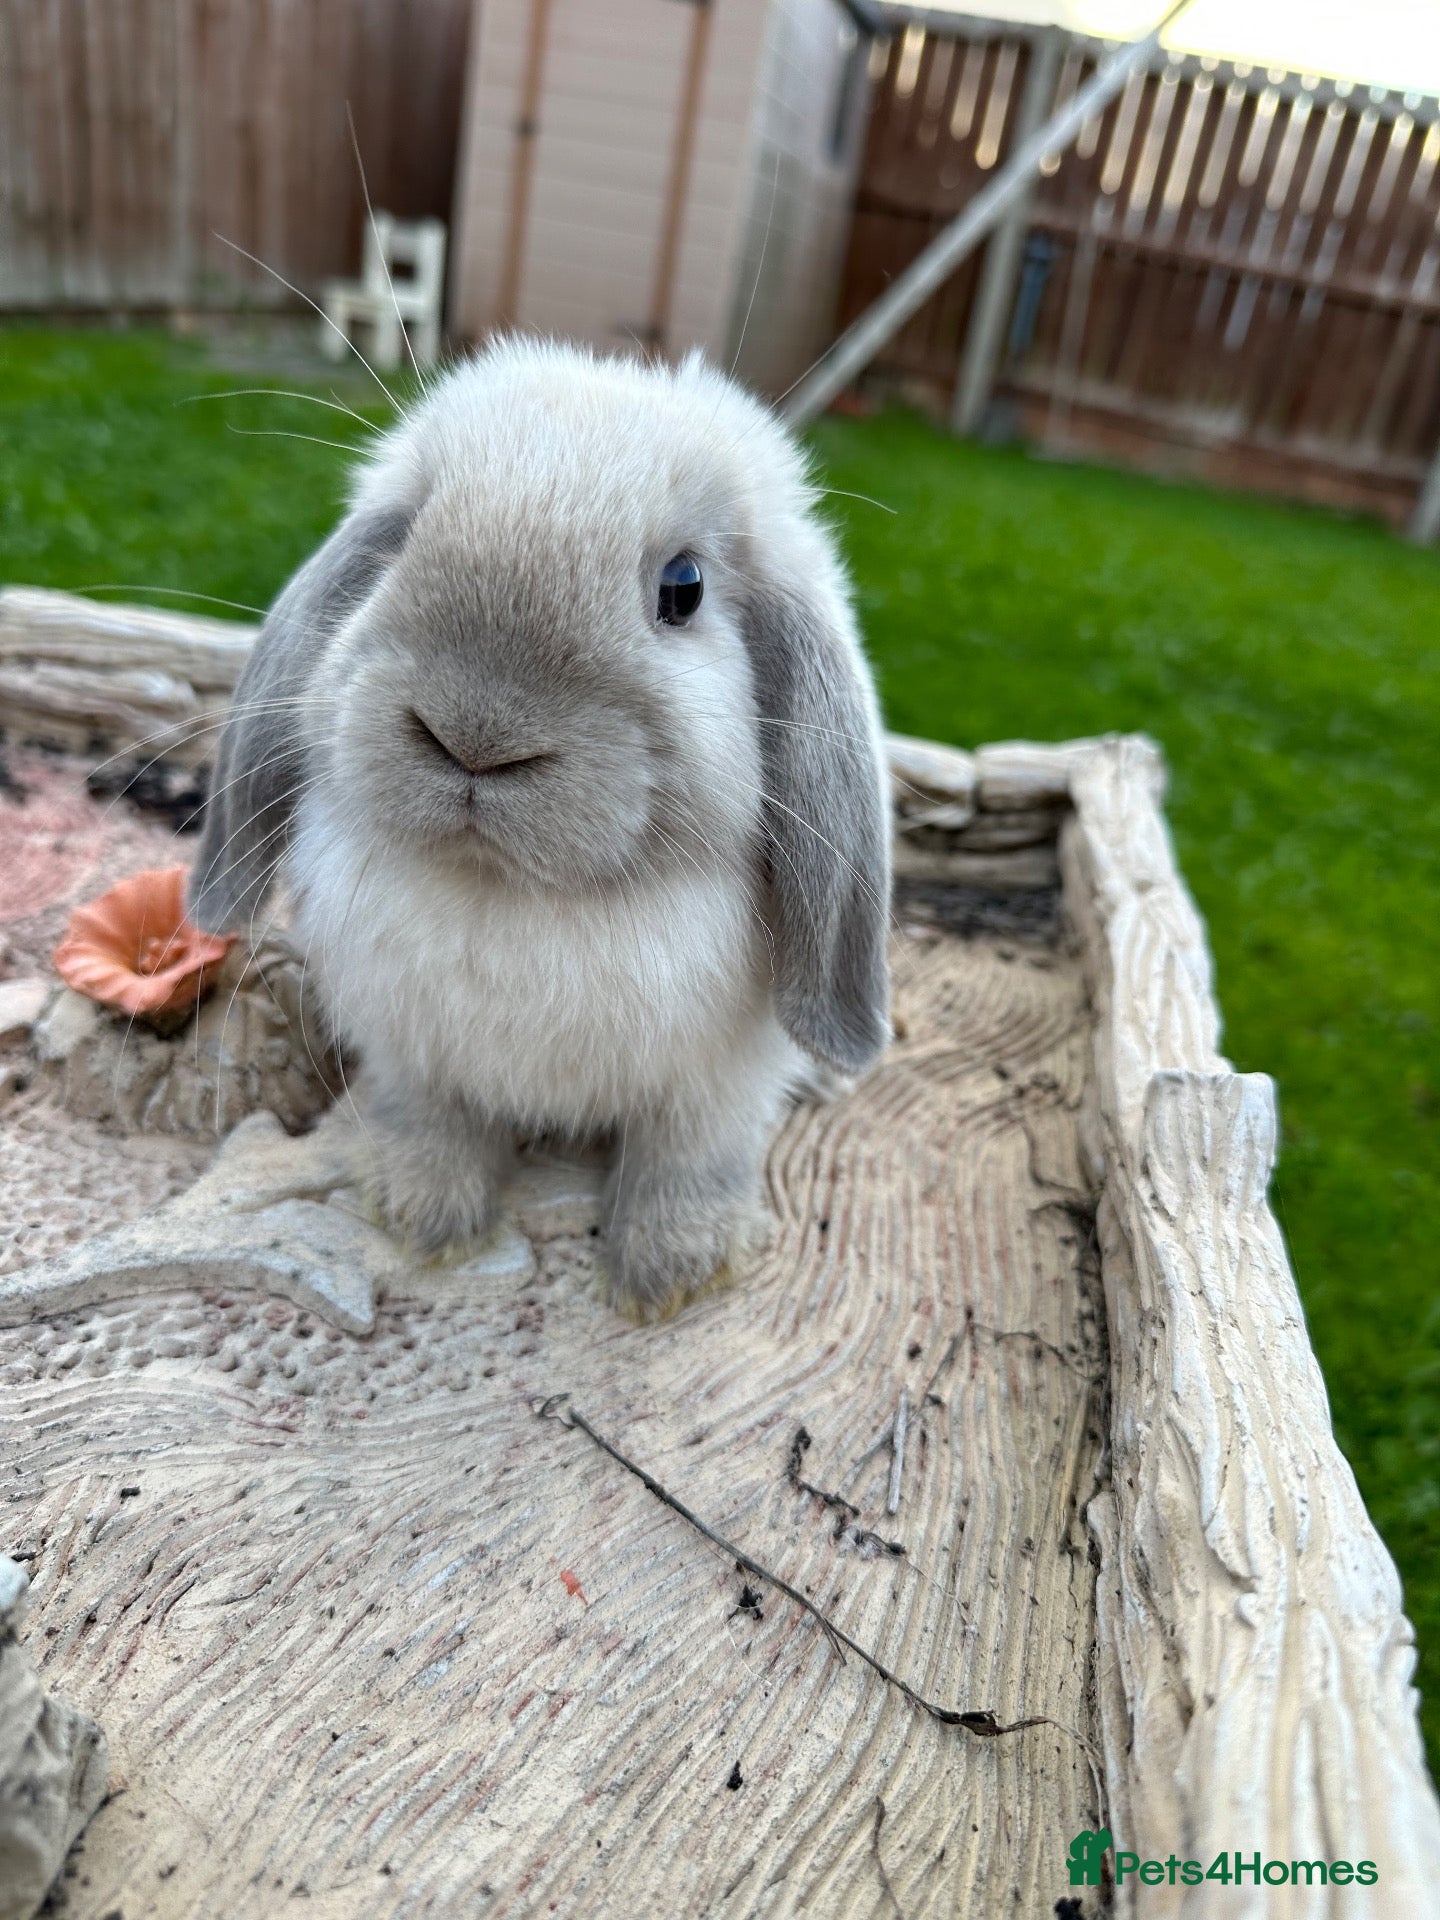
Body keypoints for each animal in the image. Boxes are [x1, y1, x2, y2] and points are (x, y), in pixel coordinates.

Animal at [188, 337, 891, 1319]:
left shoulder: (715, 1086)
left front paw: (673, 1271)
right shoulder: (409, 1051)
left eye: (685, 588)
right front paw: (425, 1215)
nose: (474, 737)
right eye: (403, 537)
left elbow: (687, 1158)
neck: (513, 894)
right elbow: (430, 1121)